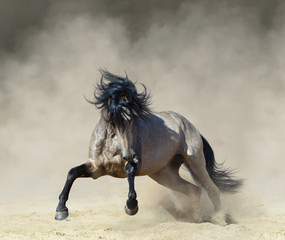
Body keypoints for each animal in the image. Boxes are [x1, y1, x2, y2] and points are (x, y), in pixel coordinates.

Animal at [54, 70, 241, 223]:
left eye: (131, 119)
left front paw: (131, 207)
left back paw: (220, 218)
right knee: (193, 190)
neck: (111, 146)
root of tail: (188, 125)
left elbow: (130, 172)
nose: (129, 154)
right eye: (113, 121)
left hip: (195, 162)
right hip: (164, 174)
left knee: (212, 189)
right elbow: (72, 173)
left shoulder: (133, 165)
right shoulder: (96, 169)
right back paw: (197, 219)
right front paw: (61, 211)